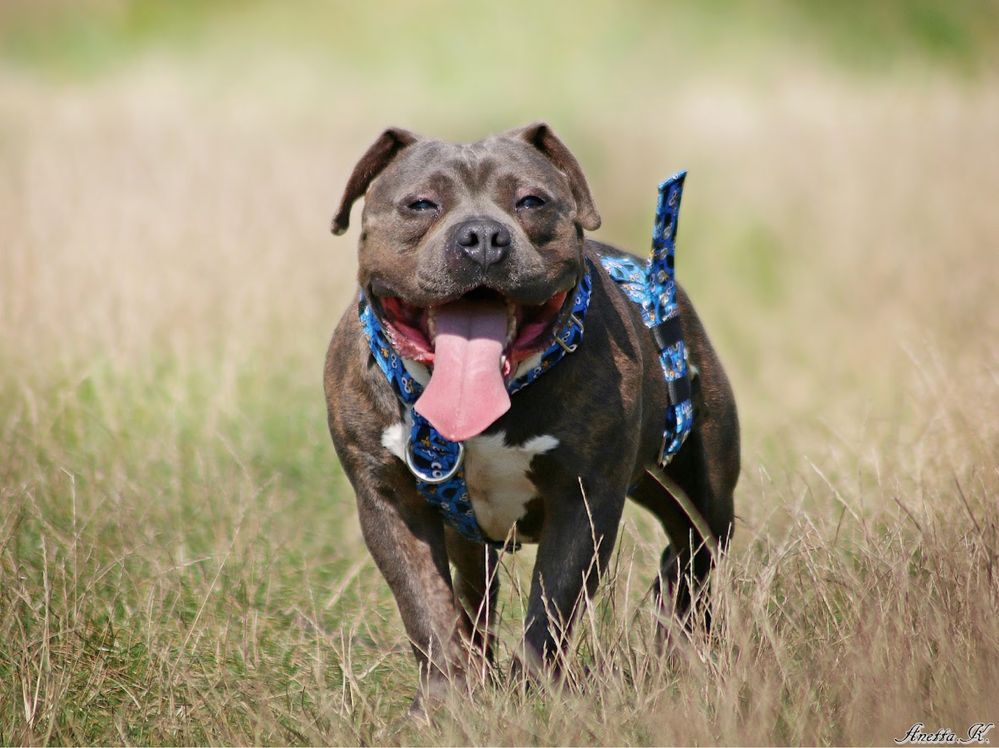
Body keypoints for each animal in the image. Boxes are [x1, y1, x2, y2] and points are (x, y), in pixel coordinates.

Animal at [324, 124, 740, 708]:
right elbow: (426, 608)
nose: (481, 236)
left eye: (531, 202)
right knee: (474, 599)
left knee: (691, 555)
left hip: (702, 493)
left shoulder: (584, 501)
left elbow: (551, 607)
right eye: (420, 204)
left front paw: (534, 697)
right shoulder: (390, 503)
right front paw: (445, 702)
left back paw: (678, 643)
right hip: (470, 539)